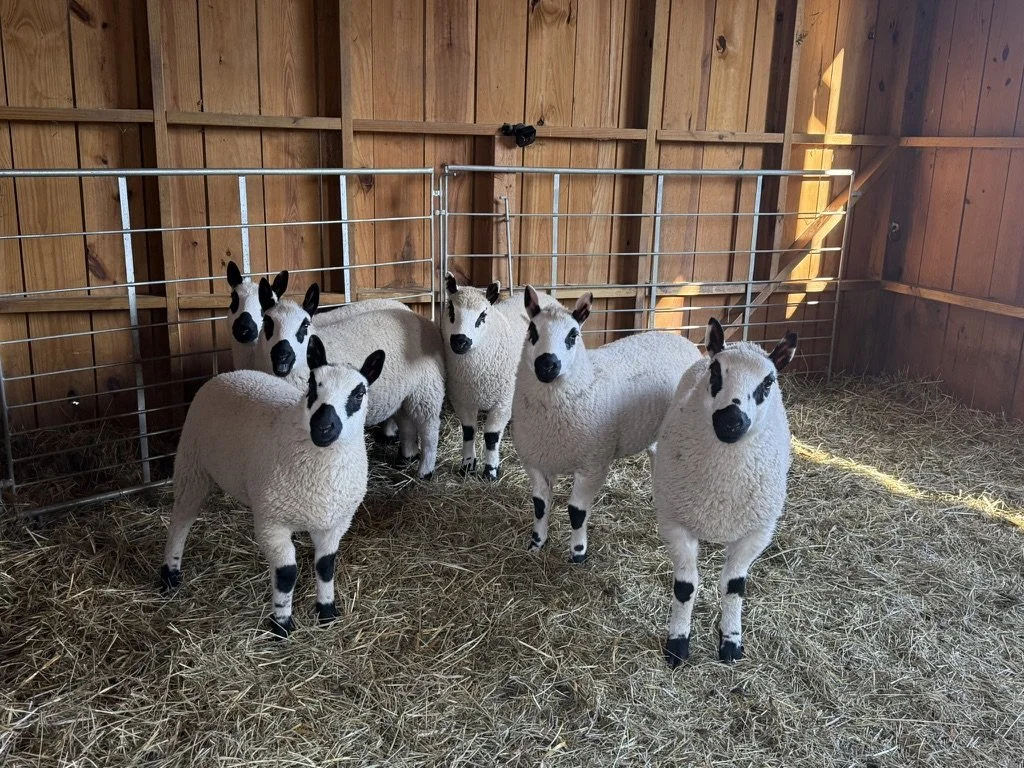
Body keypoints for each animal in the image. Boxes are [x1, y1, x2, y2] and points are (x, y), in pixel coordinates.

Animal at [160, 335, 386, 637]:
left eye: (359, 394)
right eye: (312, 386)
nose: (323, 426)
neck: (320, 479)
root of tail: (229, 374)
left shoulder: (335, 524)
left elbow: (326, 566)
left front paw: (327, 611)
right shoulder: (273, 523)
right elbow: (287, 574)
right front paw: (281, 625)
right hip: (192, 462)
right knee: (181, 519)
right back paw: (170, 574)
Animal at [255, 279, 446, 479]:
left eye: (304, 325)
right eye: (266, 322)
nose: (282, 355)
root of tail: (420, 317)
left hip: (426, 389)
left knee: (430, 428)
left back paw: (425, 470)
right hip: (404, 392)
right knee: (405, 420)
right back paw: (406, 455)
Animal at [441, 272, 529, 480]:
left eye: (483, 315)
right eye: (451, 310)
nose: (460, 341)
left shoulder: (503, 402)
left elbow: (491, 436)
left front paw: (490, 472)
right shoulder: (462, 400)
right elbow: (468, 432)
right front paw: (467, 466)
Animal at [512, 286, 702, 563]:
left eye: (573, 335)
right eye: (532, 331)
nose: (546, 365)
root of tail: (678, 338)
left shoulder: (592, 465)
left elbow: (576, 512)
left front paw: (578, 553)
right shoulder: (535, 461)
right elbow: (540, 505)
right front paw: (537, 543)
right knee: (656, 452)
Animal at [653, 317, 797, 666]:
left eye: (768, 383)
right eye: (716, 373)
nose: (731, 420)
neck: (721, 493)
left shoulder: (757, 532)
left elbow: (734, 586)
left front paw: (731, 642)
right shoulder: (675, 523)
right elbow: (685, 587)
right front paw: (677, 644)